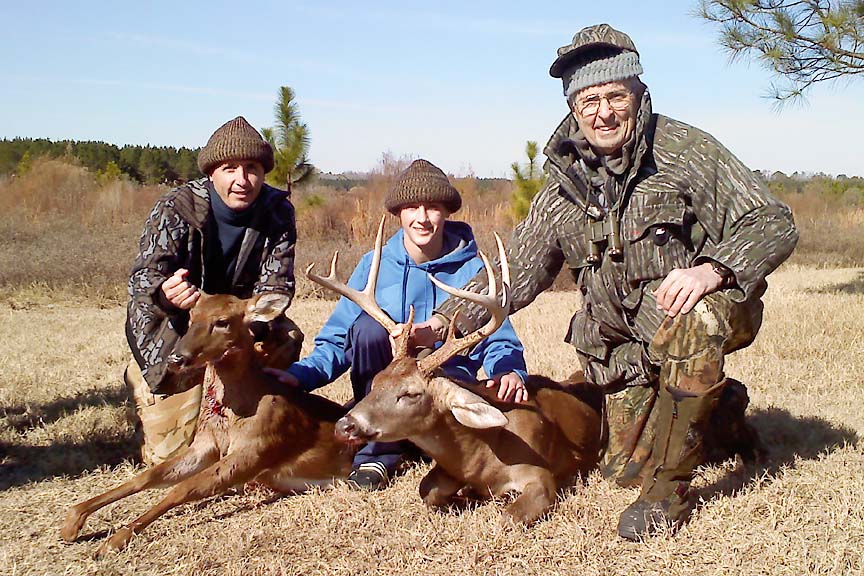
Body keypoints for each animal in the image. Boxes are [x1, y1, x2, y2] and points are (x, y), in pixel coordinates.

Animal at [60, 294, 352, 556]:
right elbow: (148, 476)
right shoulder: (205, 445)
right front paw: (74, 519)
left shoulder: (259, 445)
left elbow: (183, 488)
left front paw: (114, 541)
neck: (235, 414)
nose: (177, 358)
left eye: (222, 321)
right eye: (191, 317)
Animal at [308, 222, 604, 528]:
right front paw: (464, 499)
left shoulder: (541, 476)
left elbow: (508, 518)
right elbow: (426, 490)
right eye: (376, 382)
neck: (482, 458)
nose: (345, 425)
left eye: (411, 393)